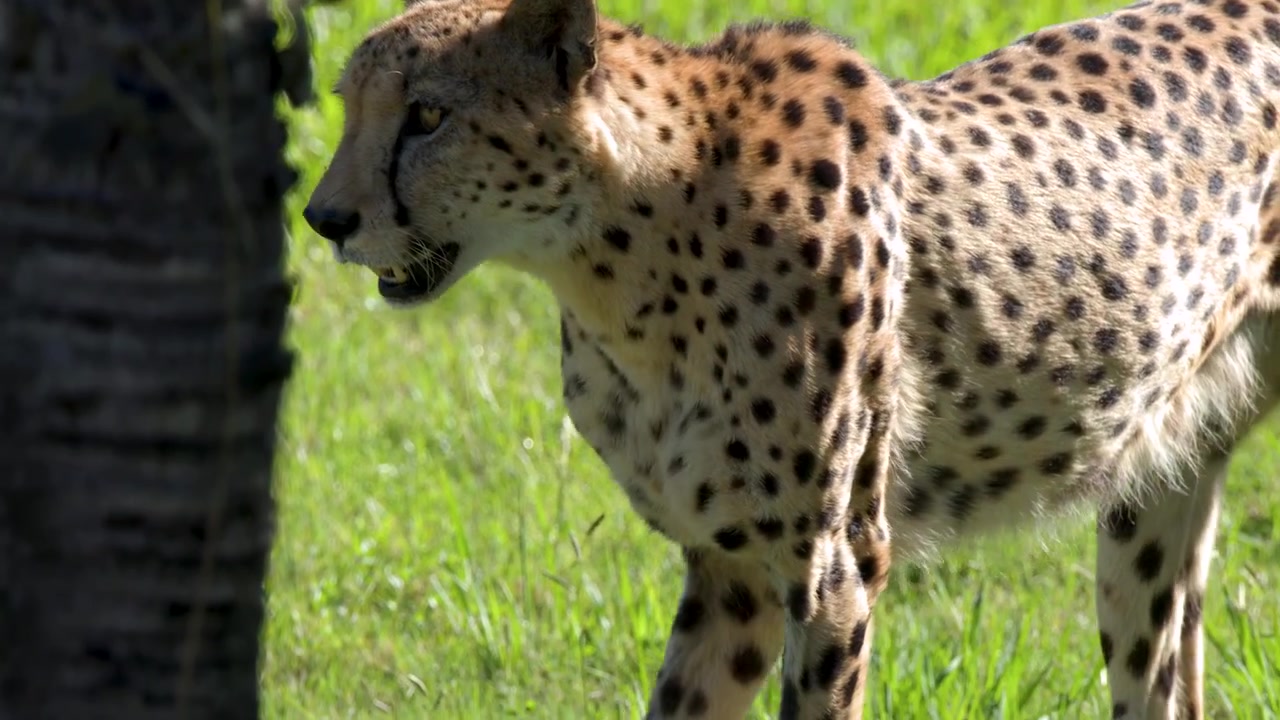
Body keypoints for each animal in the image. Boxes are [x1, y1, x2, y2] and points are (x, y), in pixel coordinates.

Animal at [303, 0, 1280, 717]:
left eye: (429, 115)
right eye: (350, 106)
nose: (324, 219)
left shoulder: (837, 562)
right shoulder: (728, 567)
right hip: (1155, 498)